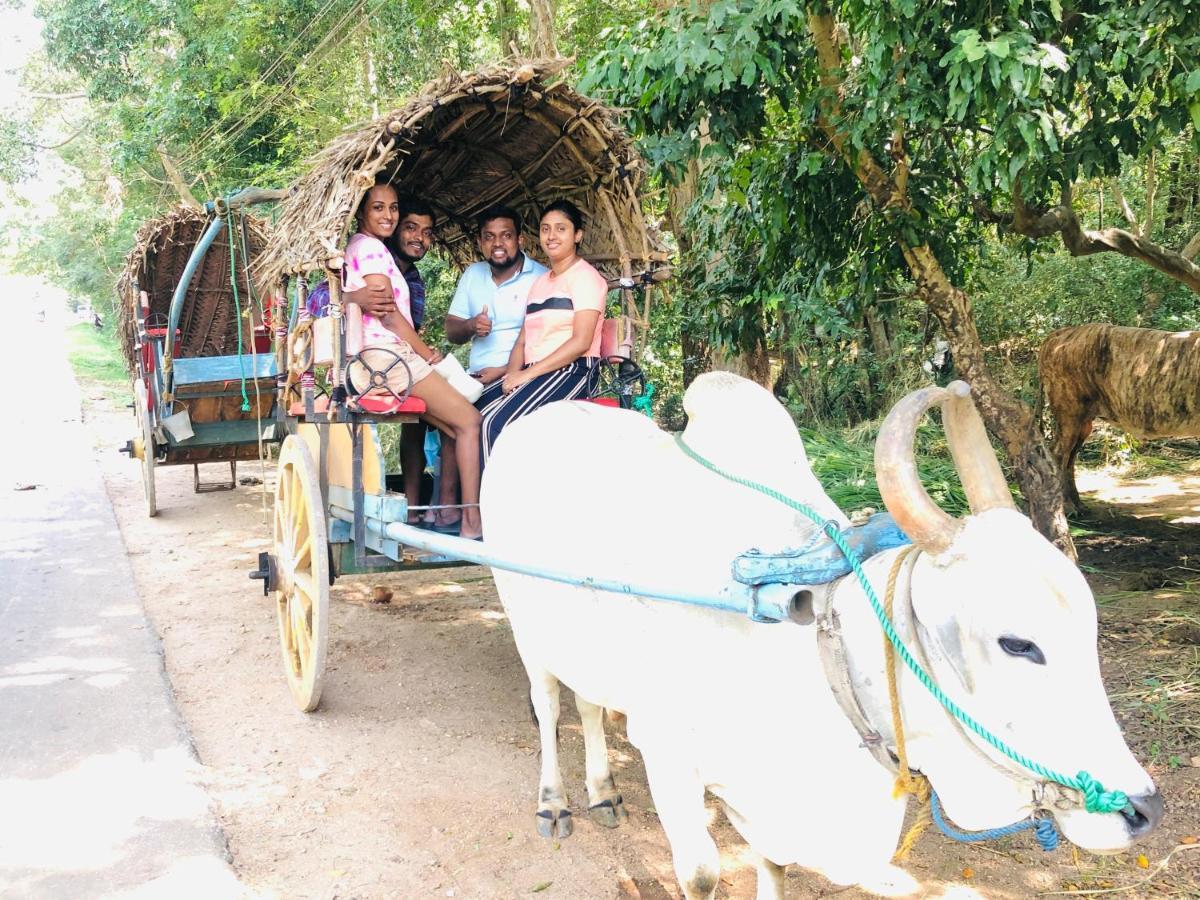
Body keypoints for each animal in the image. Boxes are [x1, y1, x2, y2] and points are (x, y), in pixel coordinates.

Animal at [1036, 324, 1195, 511]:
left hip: (1084, 422)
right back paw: (1068, 507)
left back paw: (1078, 505)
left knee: (1071, 457)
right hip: (1069, 412)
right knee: (1059, 453)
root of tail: (1057, 334)